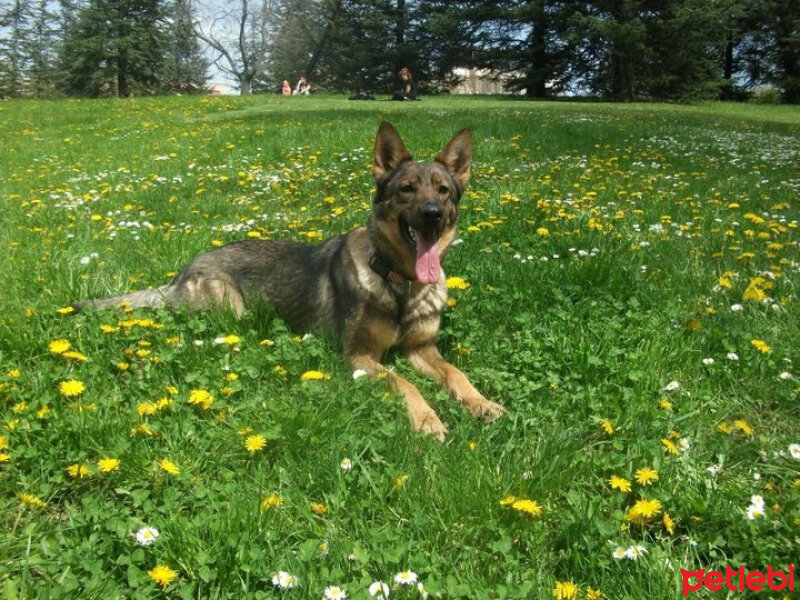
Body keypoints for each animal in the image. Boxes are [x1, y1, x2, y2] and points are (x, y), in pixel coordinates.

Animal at [72, 122, 504, 440]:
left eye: (443, 190)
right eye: (407, 190)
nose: (432, 213)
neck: (401, 284)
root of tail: (182, 272)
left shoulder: (422, 349)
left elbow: (456, 373)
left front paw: (482, 403)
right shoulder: (360, 357)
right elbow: (403, 383)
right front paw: (428, 419)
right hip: (232, 309)